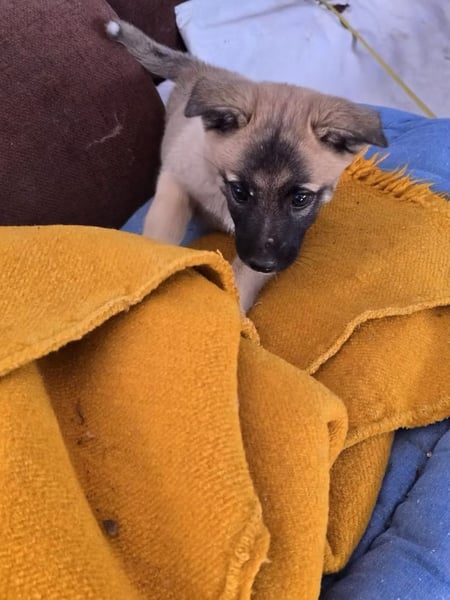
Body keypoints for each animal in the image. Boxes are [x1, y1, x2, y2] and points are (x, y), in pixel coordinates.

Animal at [106, 19, 387, 313]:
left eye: (301, 198)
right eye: (240, 191)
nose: (263, 263)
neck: (217, 185)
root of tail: (200, 68)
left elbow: (242, 280)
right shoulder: (175, 176)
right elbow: (164, 227)